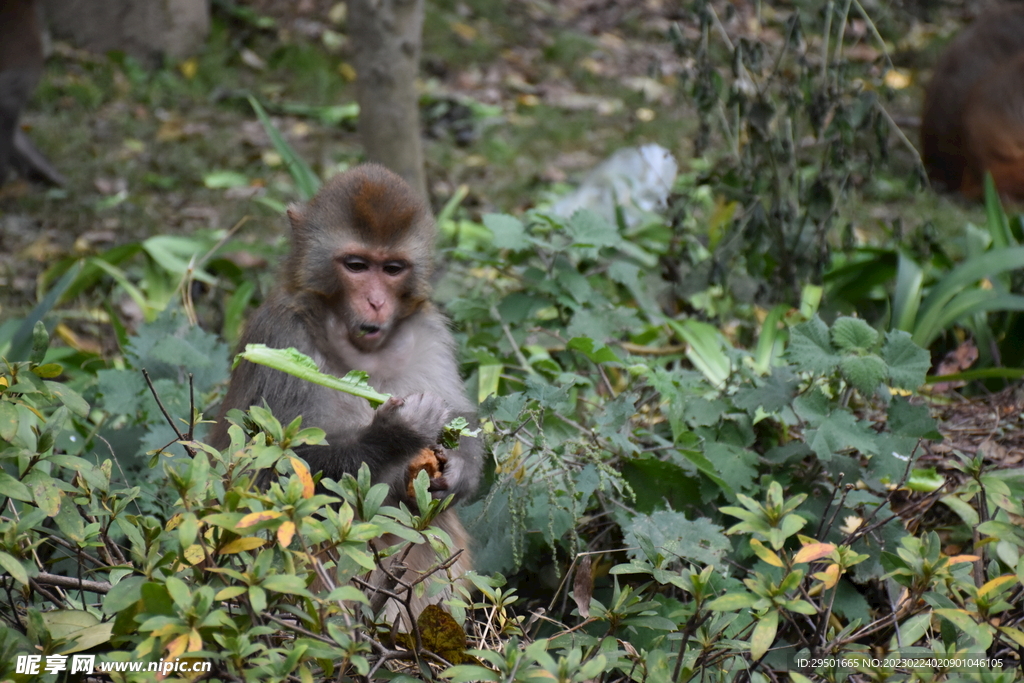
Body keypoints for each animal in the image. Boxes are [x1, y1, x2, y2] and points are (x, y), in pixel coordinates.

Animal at [209, 162, 481, 618]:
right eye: (356, 265)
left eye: (392, 269)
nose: (376, 302)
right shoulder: (280, 333)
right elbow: (272, 473)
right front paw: (395, 433)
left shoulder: (430, 329)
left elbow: (463, 417)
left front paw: (461, 468)